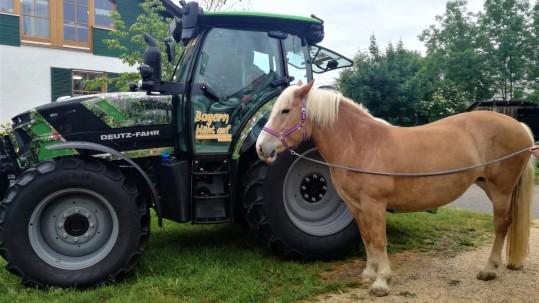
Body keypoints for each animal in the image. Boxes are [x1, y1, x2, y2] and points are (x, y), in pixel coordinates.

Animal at [258, 81, 536, 296]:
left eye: (285, 110)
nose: (262, 147)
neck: (360, 143)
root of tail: (521, 127)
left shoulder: (374, 204)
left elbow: (380, 239)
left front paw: (382, 281)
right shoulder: (356, 206)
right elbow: (367, 237)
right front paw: (369, 273)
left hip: (501, 190)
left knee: (501, 225)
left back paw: (489, 269)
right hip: (489, 186)